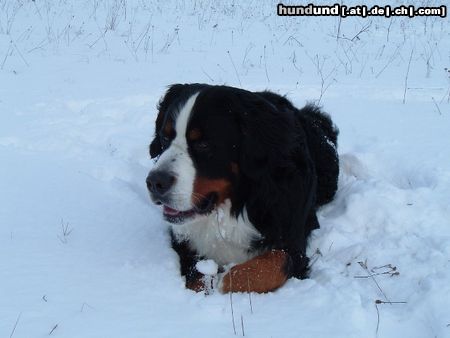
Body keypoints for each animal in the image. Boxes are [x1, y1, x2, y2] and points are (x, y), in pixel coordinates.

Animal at [146, 84, 340, 294]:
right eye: (164, 137)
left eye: (203, 145)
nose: (154, 182)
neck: (235, 206)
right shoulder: (185, 240)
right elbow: (195, 276)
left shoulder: (293, 241)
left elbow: (273, 263)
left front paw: (226, 280)